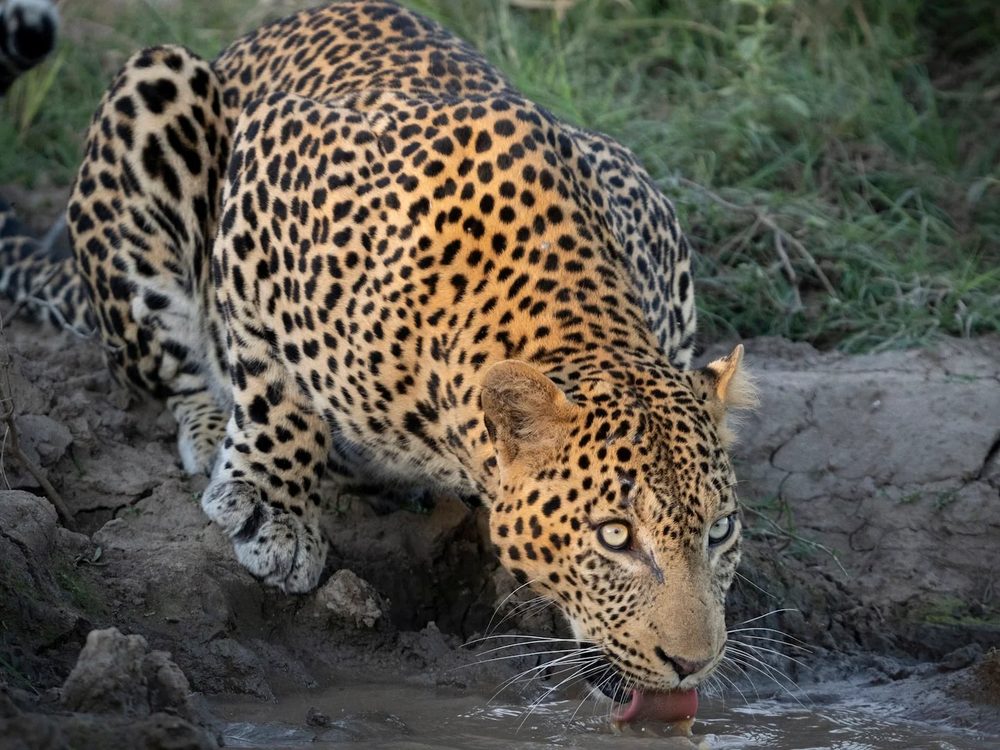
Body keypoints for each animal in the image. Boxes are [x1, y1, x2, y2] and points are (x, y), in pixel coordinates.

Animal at [0, 0, 758, 716]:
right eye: (615, 536)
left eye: (719, 530)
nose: (693, 663)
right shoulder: (267, 172)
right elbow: (277, 389)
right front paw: (272, 507)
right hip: (156, 90)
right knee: (169, 366)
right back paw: (223, 435)